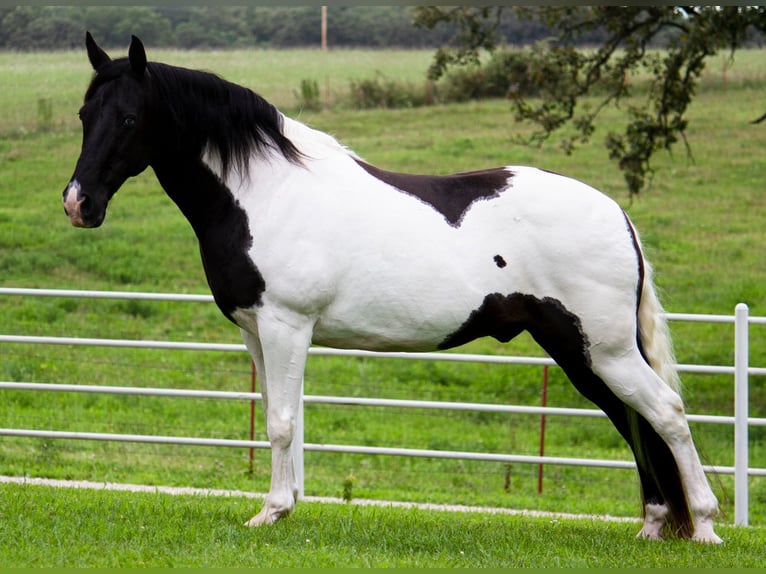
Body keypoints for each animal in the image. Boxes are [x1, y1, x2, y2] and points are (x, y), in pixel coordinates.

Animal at [63, 33, 724, 548]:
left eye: (129, 119)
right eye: (83, 116)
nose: (79, 204)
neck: (265, 193)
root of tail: (617, 213)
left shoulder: (286, 325)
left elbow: (280, 422)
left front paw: (271, 513)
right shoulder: (258, 332)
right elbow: (284, 416)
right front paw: (287, 505)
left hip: (603, 350)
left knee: (666, 413)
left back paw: (707, 525)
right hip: (579, 350)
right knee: (632, 419)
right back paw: (654, 524)